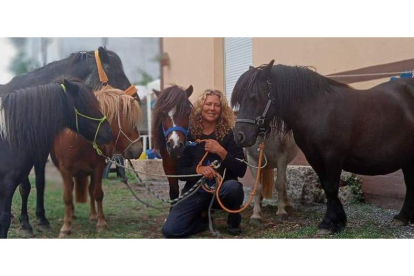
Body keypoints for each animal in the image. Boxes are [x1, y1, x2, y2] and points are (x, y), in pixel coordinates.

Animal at [51, 87, 143, 237]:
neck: (79, 141)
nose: (138, 150)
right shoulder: (65, 170)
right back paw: (72, 215)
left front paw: (101, 223)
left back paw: (93, 216)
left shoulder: (98, 169)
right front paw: (66, 227)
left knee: (90, 190)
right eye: (129, 122)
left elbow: (98, 194)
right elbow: (67, 197)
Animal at [231, 59, 414, 233]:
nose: (239, 136)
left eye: (254, 98)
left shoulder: (333, 157)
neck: (317, 110)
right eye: (240, 100)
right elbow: (326, 186)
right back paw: (403, 217)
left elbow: (332, 187)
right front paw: (338, 221)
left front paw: (327, 223)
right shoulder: (314, 158)